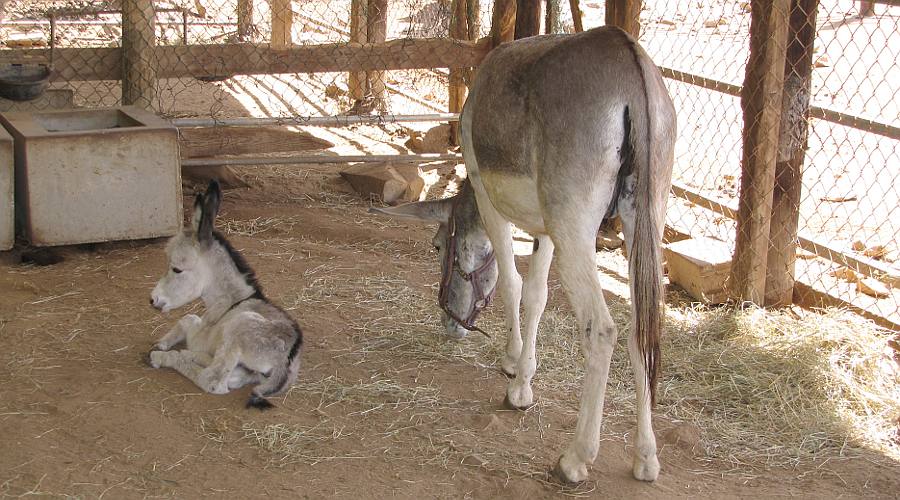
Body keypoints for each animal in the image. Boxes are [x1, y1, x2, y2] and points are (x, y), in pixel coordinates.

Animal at [148, 182, 302, 408]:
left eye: (176, 269)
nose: (153, 300)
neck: (230, 303)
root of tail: (288, 357)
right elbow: (187, 319)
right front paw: (163, 342)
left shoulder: (200, 337)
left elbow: (188, 320)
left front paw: (161, 349)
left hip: (239, 330)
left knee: (213, 381)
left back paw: (165, 357)